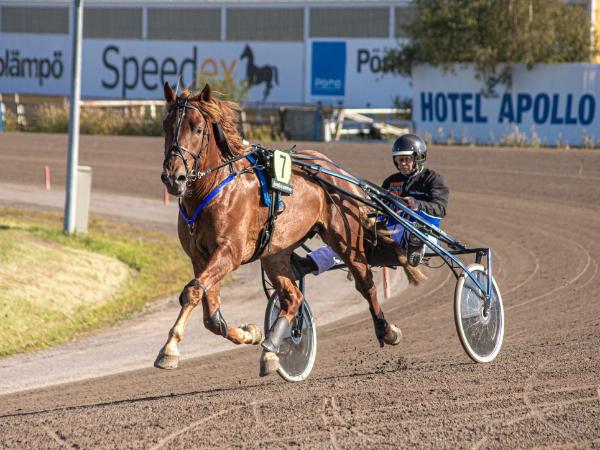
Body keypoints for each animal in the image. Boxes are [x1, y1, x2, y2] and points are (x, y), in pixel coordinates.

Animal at [155, 82, 425, 377]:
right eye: (167, 126)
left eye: (197, 128)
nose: (174, 177)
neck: (214, 187)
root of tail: (335, 170)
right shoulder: (200, 257)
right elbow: (212, 317)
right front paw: (251, 333)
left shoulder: (229, 252)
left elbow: (192, 292)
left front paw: (168, 349)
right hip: (275, 253)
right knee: (293, 298)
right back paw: (271, 348)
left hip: (345, 239)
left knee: (366, 283)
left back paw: (386, 330)